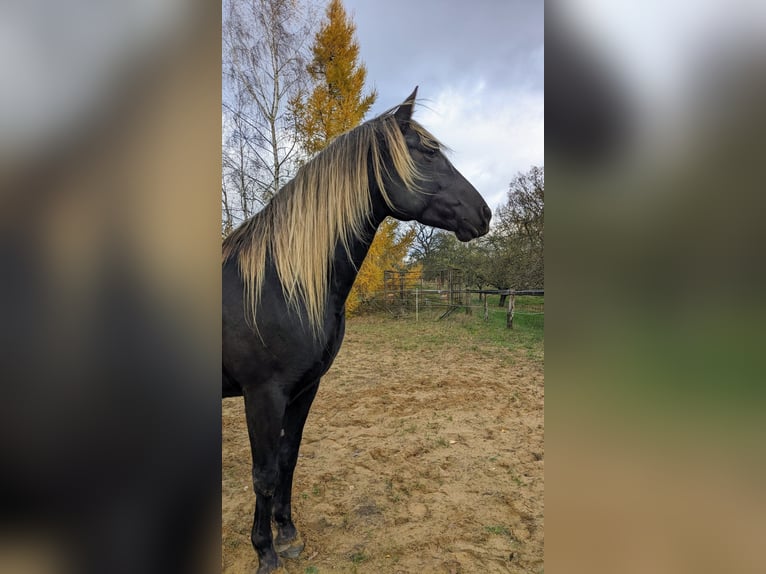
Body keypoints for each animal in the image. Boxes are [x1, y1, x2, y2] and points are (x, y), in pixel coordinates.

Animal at [222, 87, 491, 573]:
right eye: (427, 152)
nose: (485, 213)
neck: (278, 282)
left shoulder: (305, 388)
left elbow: (288, 459)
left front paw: (288, 534)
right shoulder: (262, 395)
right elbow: (264, 474)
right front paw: (265, 551)